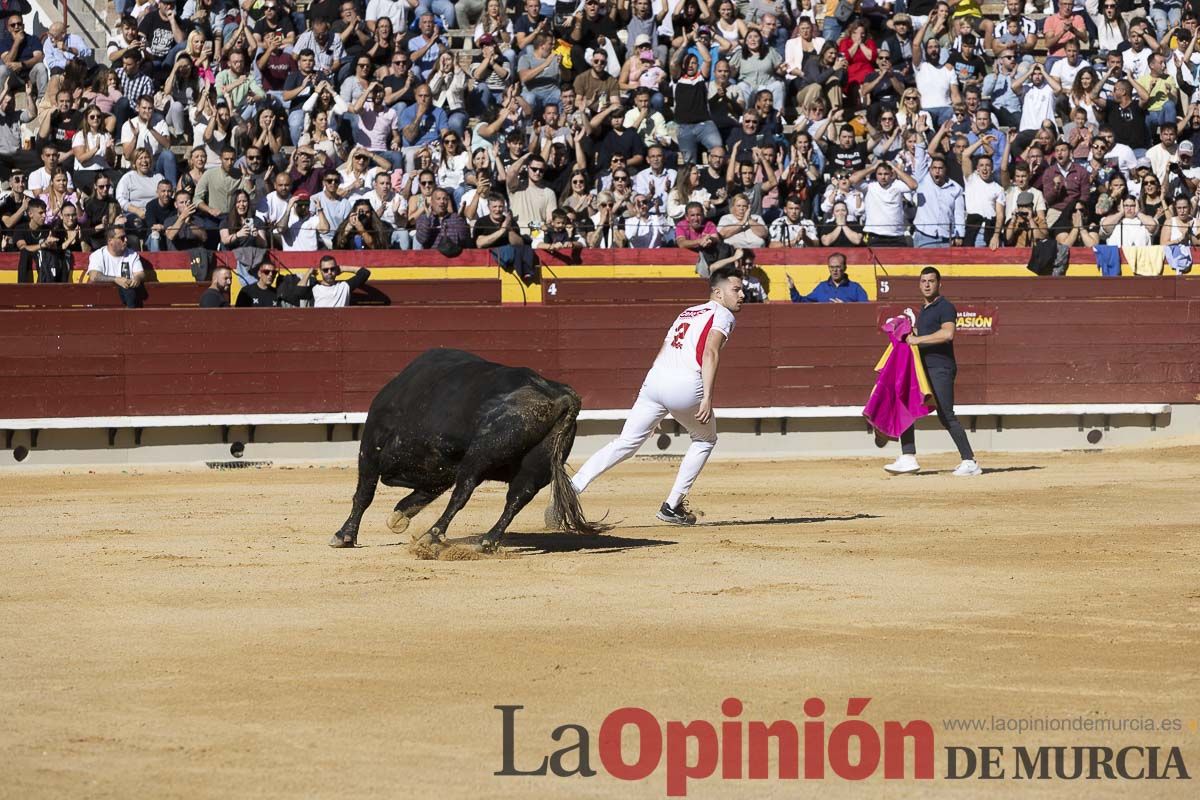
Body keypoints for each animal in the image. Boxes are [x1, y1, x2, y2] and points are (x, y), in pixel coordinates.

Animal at [331, 347, 604, 554]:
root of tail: (560, 394)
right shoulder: (440, 470)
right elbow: (418, 495)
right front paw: (398, 518)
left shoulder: (371, 447)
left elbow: (364, 494)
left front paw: (344, 536)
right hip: (535, 465)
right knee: (518, 497)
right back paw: (487, 542)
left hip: (480, 454)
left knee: (463, 492)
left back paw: (432, 536)